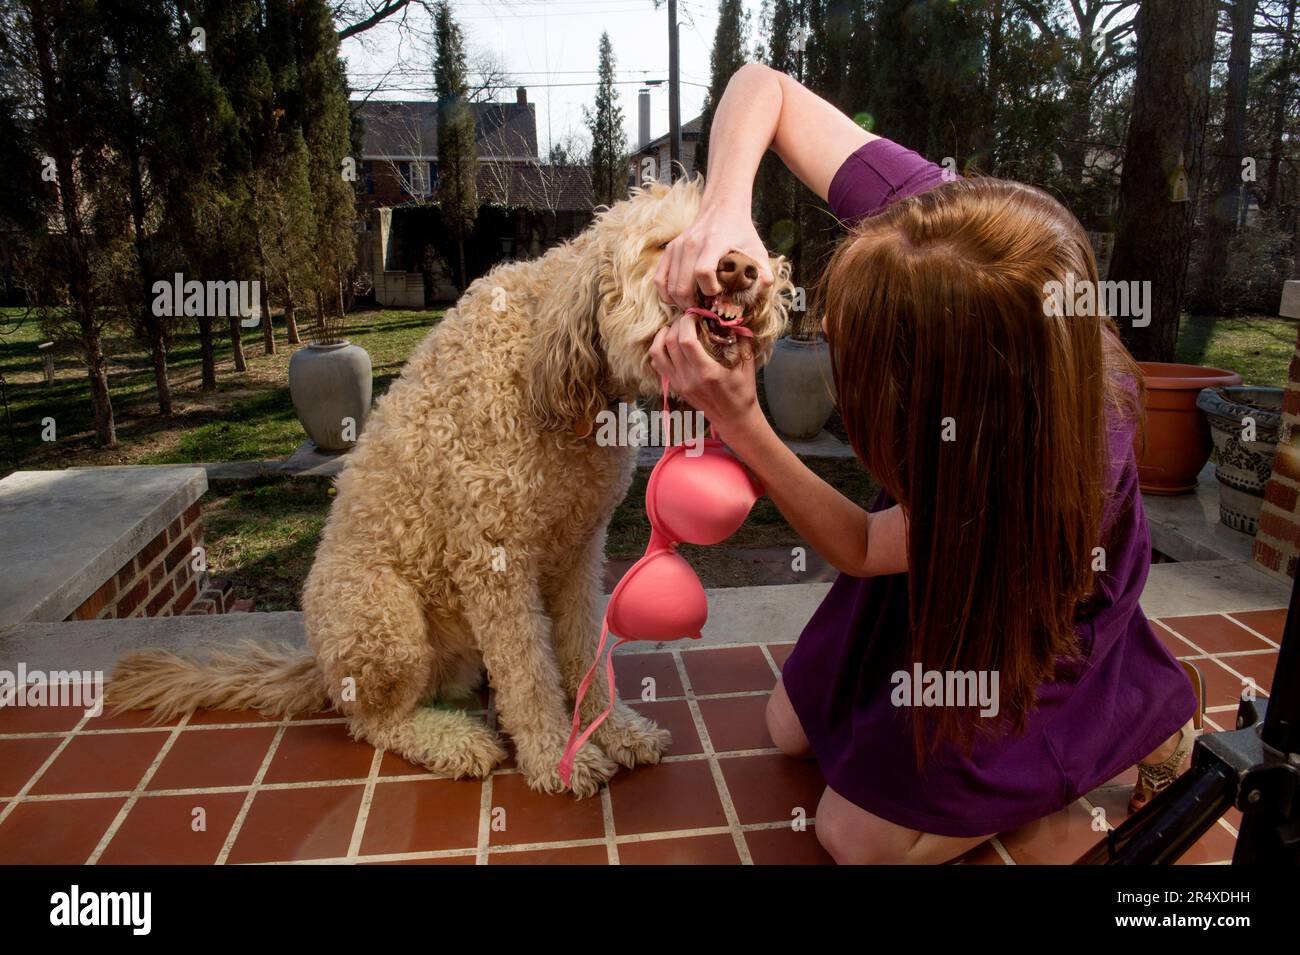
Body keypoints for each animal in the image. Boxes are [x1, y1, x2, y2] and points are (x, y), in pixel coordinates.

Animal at [106, 174, 790, 800]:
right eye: (665, 245)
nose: (741, 269)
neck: (557, 370)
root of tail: (320, 668)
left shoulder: (578, 552)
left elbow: (582, 652)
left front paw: (614, 728)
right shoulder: (495, 561)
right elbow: (528, 673)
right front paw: (555, 759)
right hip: (381, 619)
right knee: (373, 721)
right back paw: (453, 740)